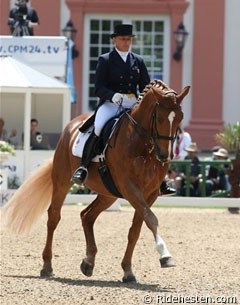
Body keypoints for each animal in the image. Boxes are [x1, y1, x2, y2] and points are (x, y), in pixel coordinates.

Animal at [1, 79, 189, 282]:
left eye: (179, 118)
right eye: (160, 118)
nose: (164, 156)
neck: (143, 144)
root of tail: (72, 125)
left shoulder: (150, 193)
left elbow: (136, 230)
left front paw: (128, 270)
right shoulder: (130, 188)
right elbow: (151, 219)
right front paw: (165, 255)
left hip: (109, 194)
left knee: (87, 215)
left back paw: (88, 263)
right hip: (62, 181)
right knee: (54, 217)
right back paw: (47, 266)